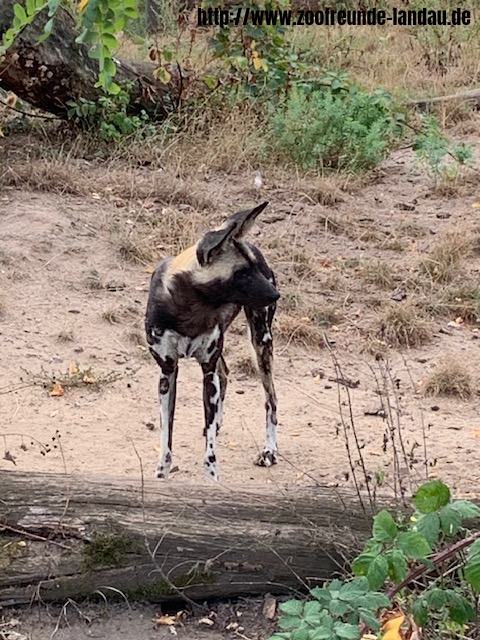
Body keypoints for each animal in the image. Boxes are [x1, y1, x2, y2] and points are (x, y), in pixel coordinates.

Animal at [145, 201, 282, 480]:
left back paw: (269, 450)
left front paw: (212, 480)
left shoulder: (207, 372)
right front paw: (162, 474)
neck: (191, 308)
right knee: (226, 373)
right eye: (242, 273)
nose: (276, 294)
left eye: (254, 269)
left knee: (270, 400)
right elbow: (166, 437)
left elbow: (210, 452)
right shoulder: (168, 373)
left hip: (261, 343)